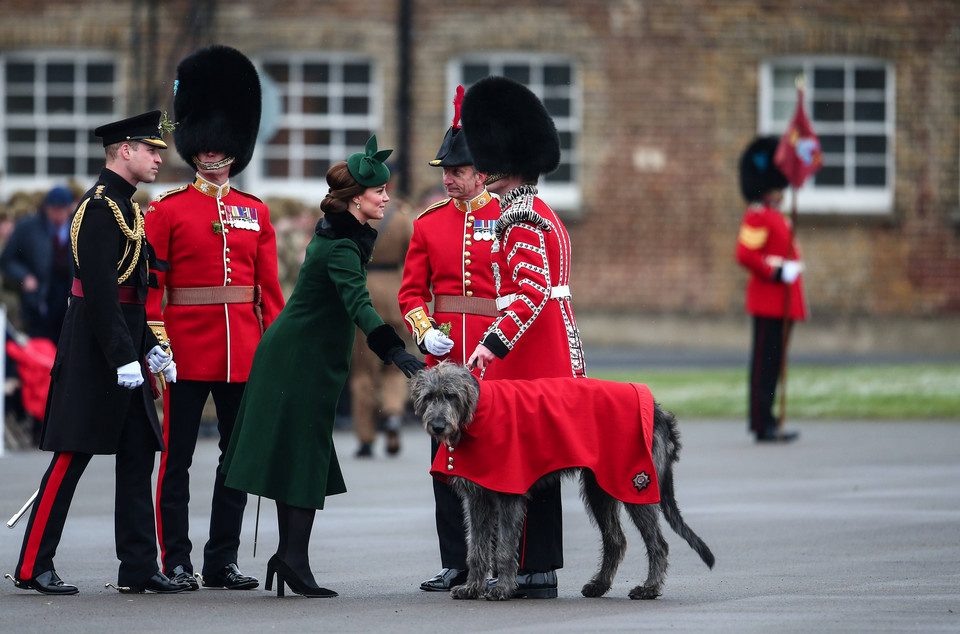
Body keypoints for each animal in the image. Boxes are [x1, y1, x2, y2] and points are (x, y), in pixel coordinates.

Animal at [408, 360, 716, 596]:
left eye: (451, 396)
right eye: (429, 397)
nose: (438, 426)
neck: (478, 412)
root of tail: (658, 409)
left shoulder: (509, 494)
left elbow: (505, 547)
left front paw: (502, 589)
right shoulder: (478, 499)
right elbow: (477, 547)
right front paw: (472, 588)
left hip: (634, 484)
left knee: (658, 543)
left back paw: (649, 589)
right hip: (600, 489)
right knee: (615, 540)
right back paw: (599, 585)